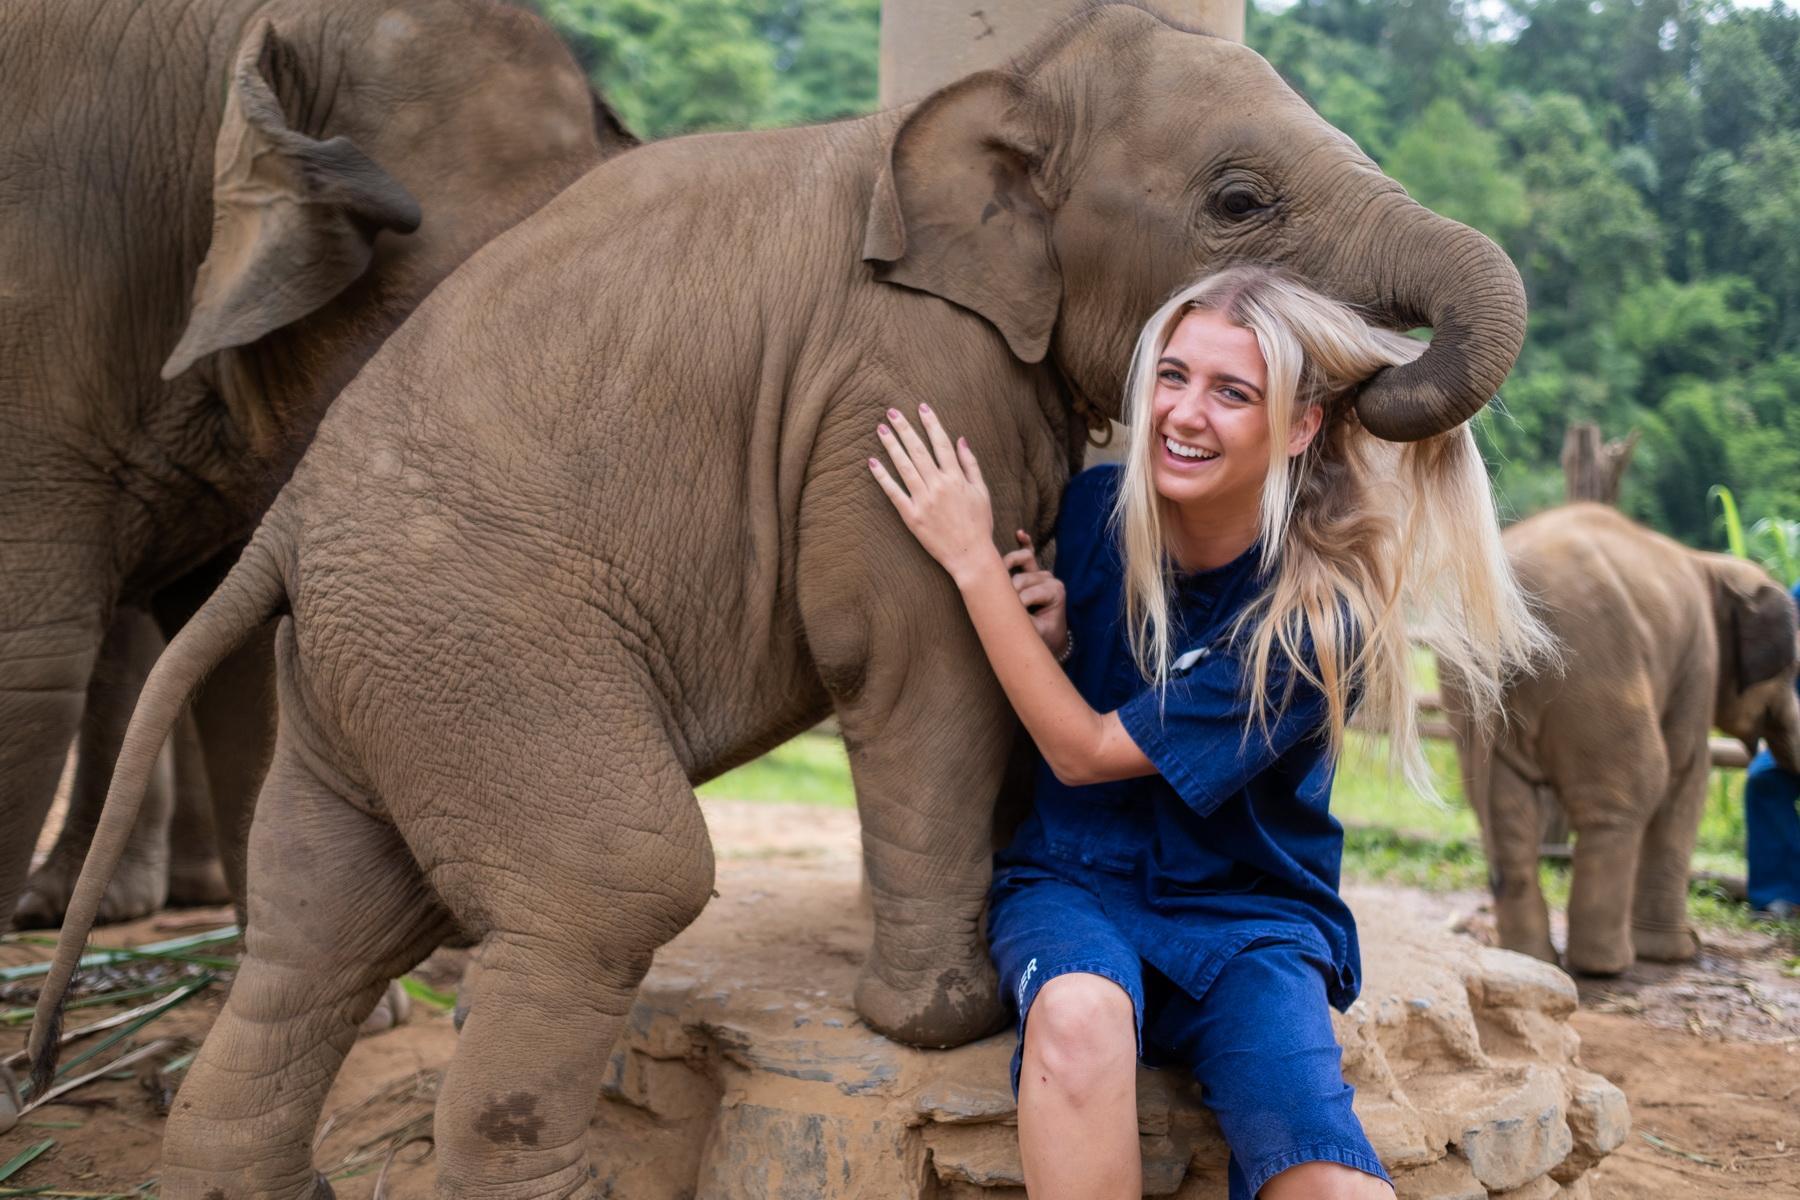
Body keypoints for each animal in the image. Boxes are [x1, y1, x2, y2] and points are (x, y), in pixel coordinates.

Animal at [1447, 503, 1800, 978]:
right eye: (1792, 670)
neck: (1710, 564)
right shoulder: (1699, 660)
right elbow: (1687, 773)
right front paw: (1679, 951)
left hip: (1470, 693)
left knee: (1506, 815)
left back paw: (1531, 958)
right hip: (1594, 673)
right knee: (1630, 793)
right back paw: (1607, 965)